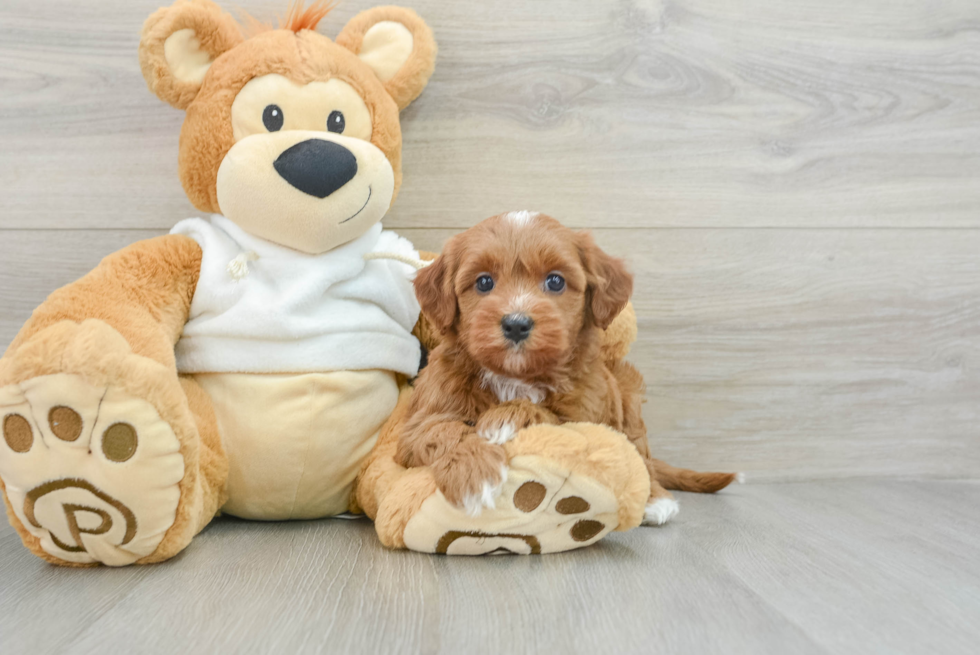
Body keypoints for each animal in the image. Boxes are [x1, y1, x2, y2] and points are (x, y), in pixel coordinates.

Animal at [396, 213, 736, 524]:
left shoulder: (587, 416)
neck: (516, 376)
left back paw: (655, 500)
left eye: (555, 281)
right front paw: (474, 477)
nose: (516, 324)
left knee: (641, 454)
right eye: (483, 282)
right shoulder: (416, 425)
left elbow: (552, 417)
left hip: (628, 397)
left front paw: (507, 417)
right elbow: (441, 430)